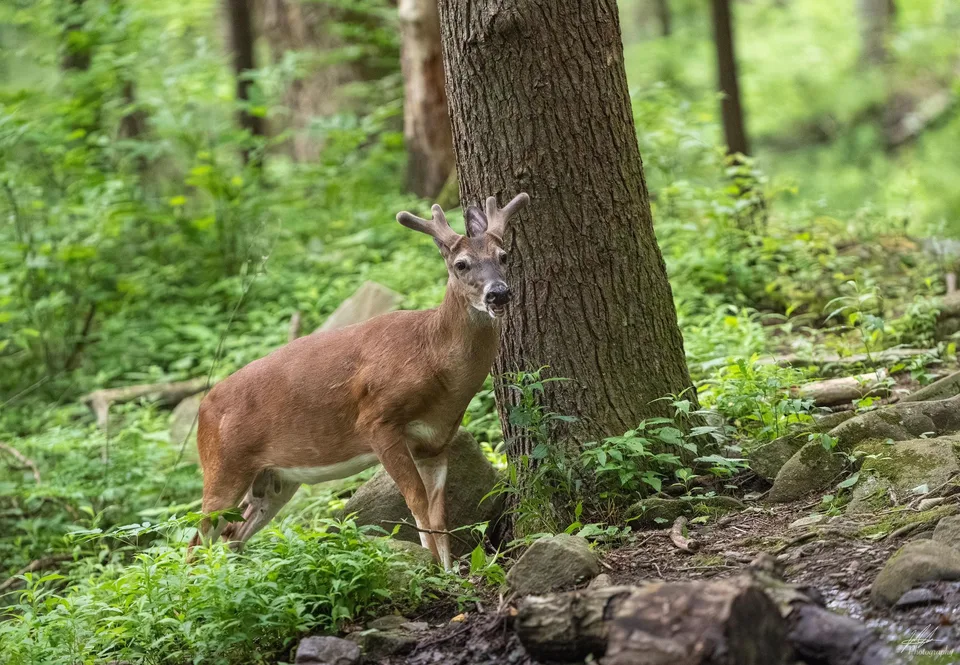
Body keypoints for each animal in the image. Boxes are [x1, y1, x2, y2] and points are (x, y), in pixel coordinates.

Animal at [187, 192, 529, 570]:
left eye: (504, 256)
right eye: (461, 264)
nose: (498, 293)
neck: (433, 359)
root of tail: (203, 408)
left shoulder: (436, 442)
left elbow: (439, 513)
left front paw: (448, 571)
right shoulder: (377, 420)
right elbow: (417, 503)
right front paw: (429, 569)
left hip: (276, 478)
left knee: (233, 533)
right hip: (223, 465)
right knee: (196, 539)